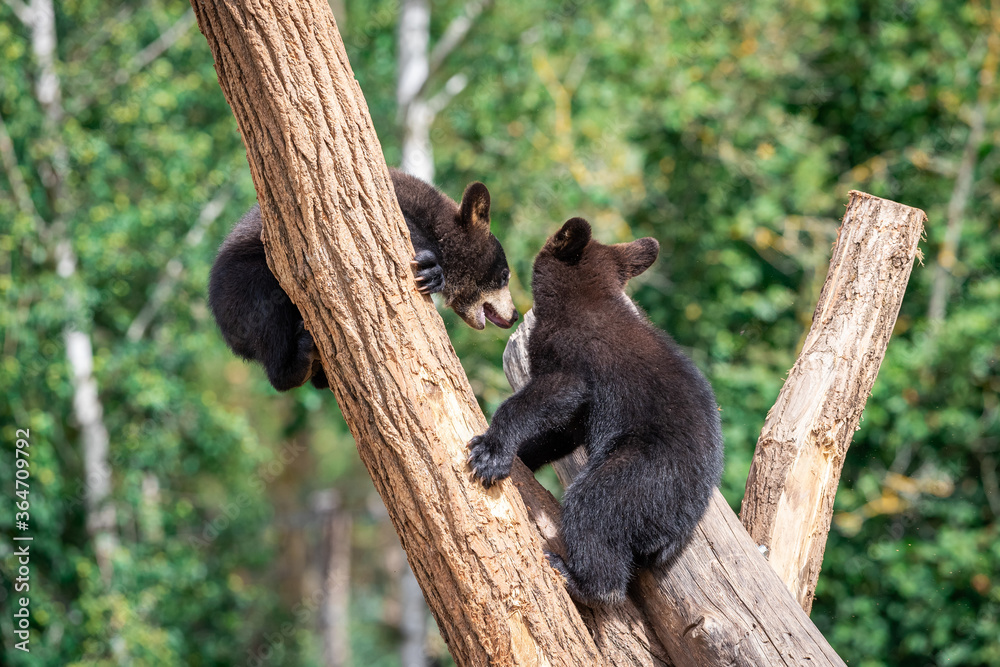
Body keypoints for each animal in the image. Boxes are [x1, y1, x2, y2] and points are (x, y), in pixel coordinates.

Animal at [208, 168, 518, 392]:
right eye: (505, 275)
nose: (515, 315)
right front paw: (432, 270)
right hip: (248, 282)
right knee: (269, 321)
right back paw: (297, 360)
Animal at [466, 217, 723, 605]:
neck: (583, 298)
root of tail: (681, 526)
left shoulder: (573, 355)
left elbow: (552, 396)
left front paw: (490, 452)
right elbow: (563, 430)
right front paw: (523, 456)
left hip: (646, 473)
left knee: (593, 507)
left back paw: (580, 579)